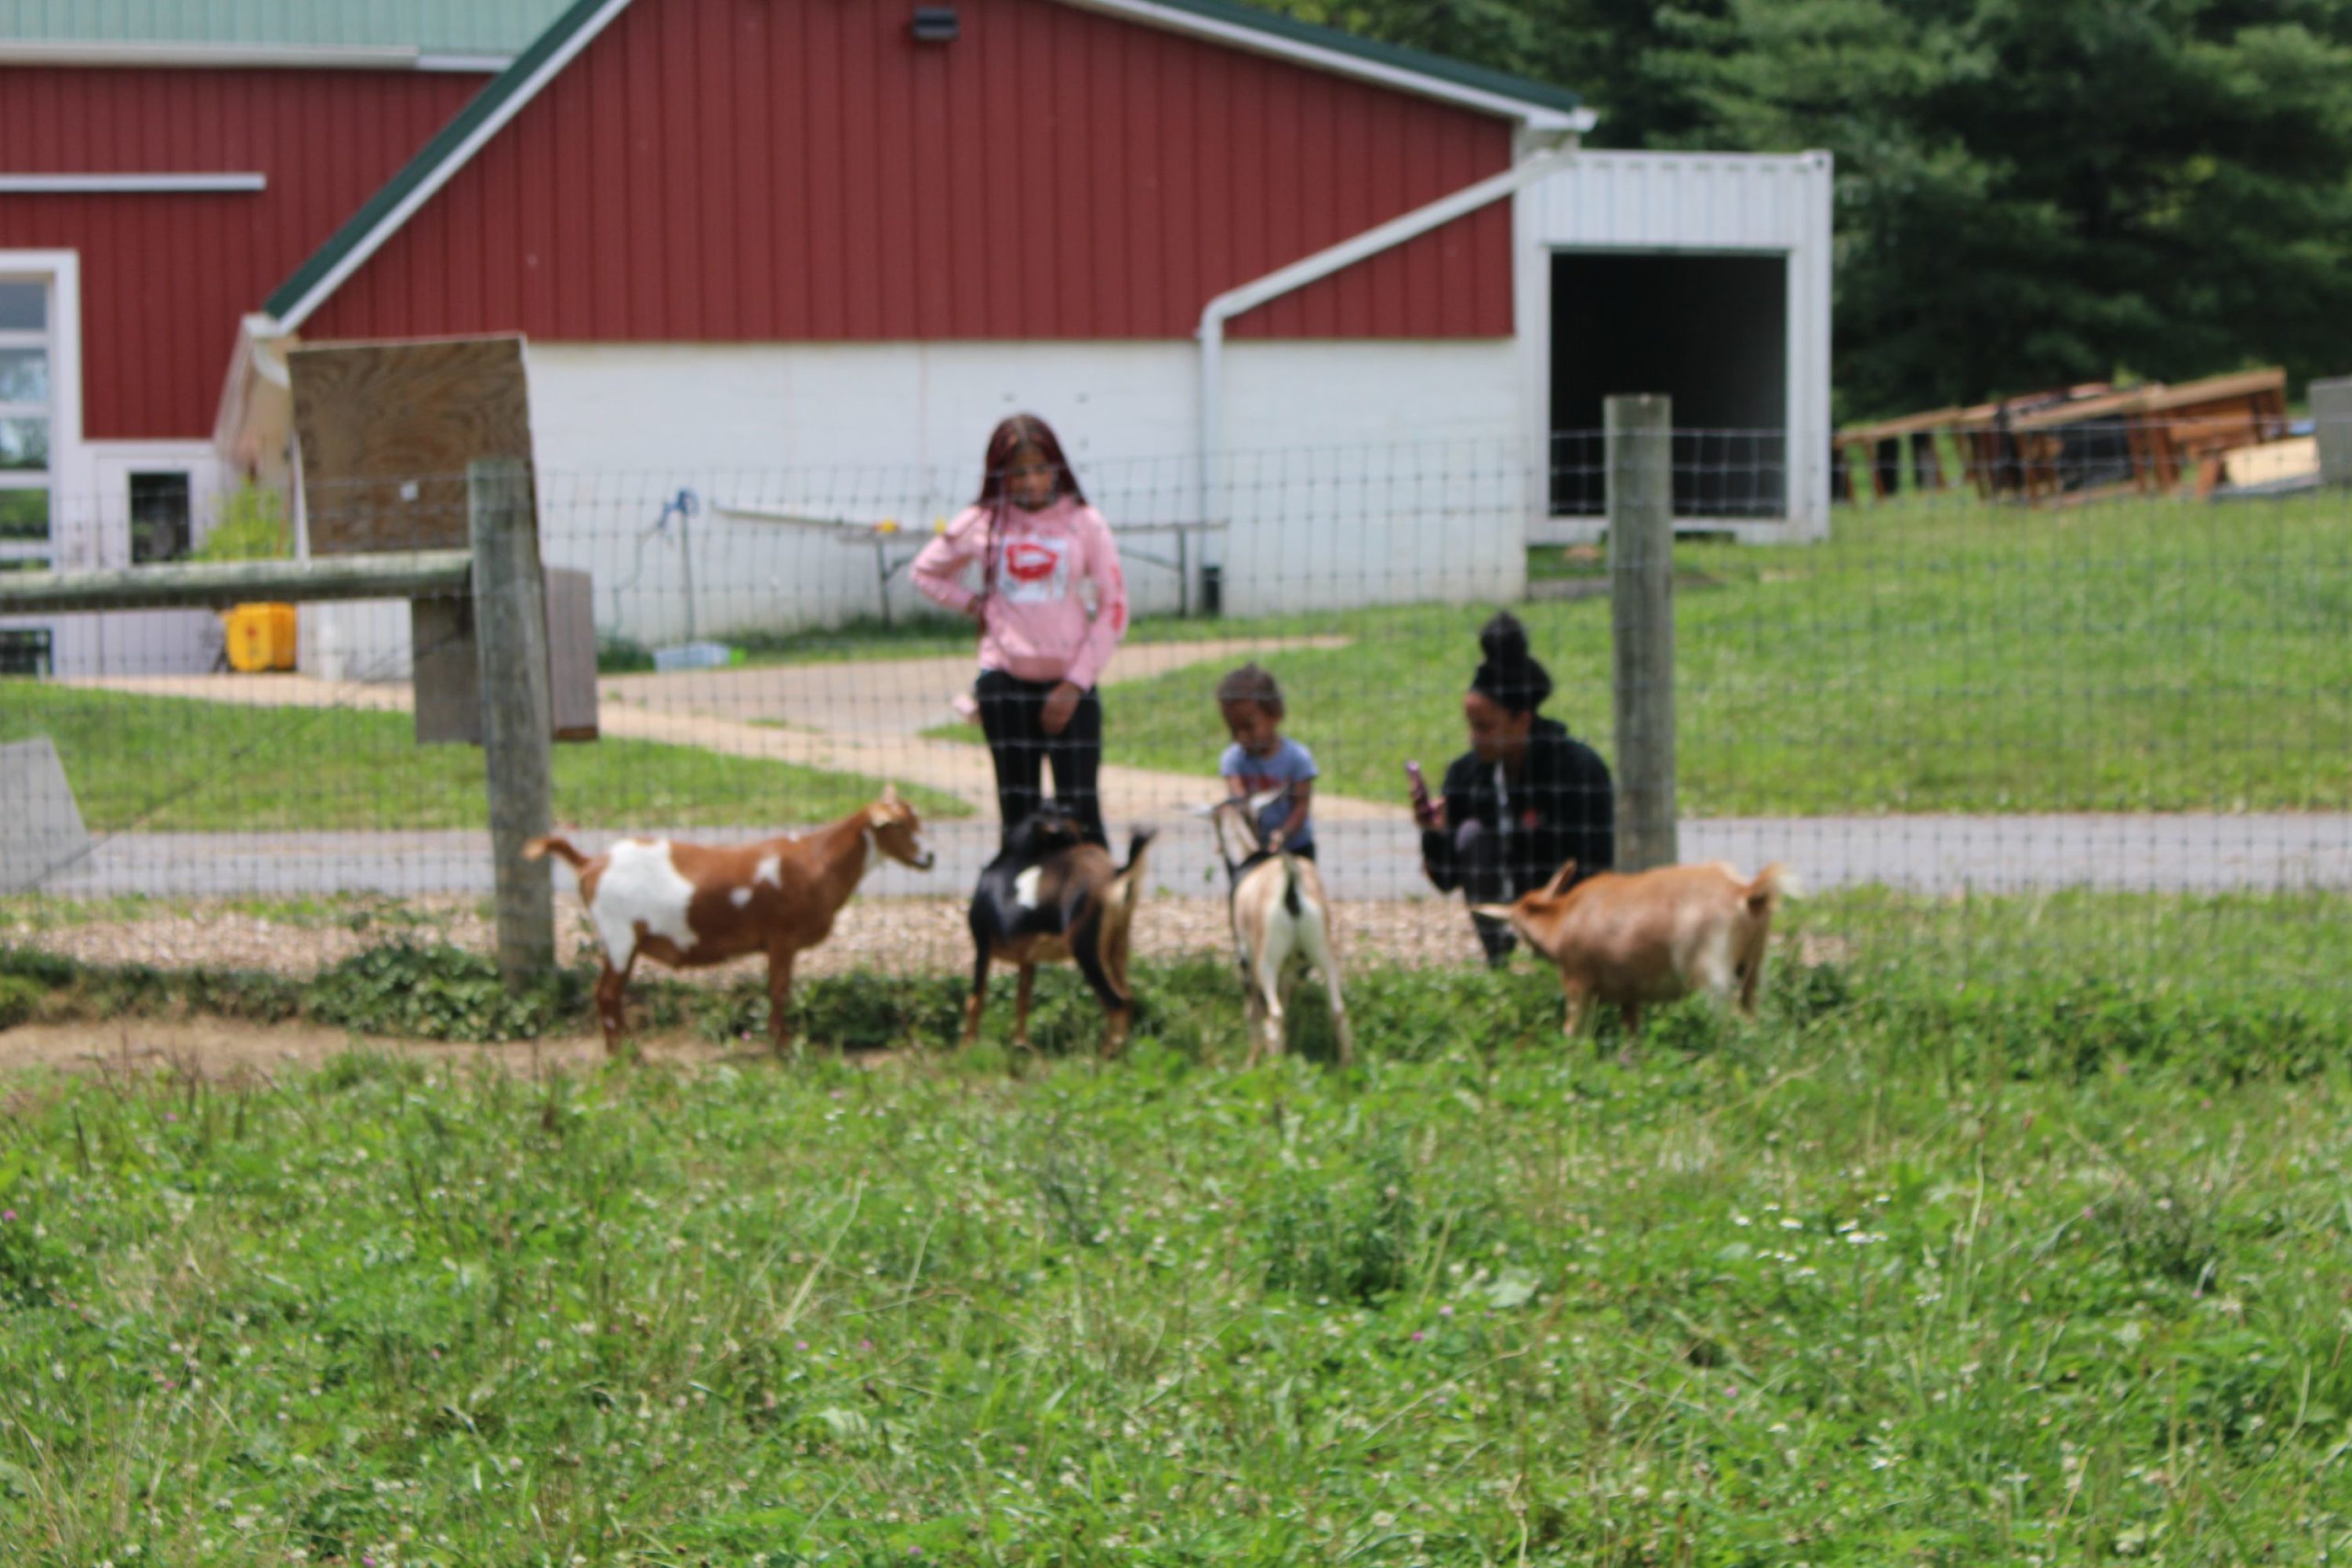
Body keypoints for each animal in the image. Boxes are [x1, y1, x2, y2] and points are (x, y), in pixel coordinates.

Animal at [529, 789, 931, 1062]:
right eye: (897, 825)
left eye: (918, 821)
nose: (930, 857)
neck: (817, 861)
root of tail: (590, 863)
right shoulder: (782, 937)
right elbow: (780, 990)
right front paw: (782, 1046)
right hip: (620, 934)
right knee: (607, 994)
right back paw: (625, 1055)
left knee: (611, 994)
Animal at [1204, 799, 1355, 1067]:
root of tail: (1290, 878)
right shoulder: (1289, 967)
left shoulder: (1245, 959)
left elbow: (1252, 1012)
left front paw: (1251, 1060)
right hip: (1323, 955)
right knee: (1337, 1010)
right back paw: (1346, 1065)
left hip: (1266, 963)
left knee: (1273, 1016)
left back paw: (1275, 1068)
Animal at [1486, 860, 1797, 1044]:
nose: (1509, 941)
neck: (1562, 919)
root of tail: (1744, 892)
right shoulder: (1629, 993)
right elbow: (1631, 1032)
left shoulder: (1578, 982)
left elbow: (1573, 1030)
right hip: (1753, 968)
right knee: (1751, 1012)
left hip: (1712, 976)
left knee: (1725, 1022)